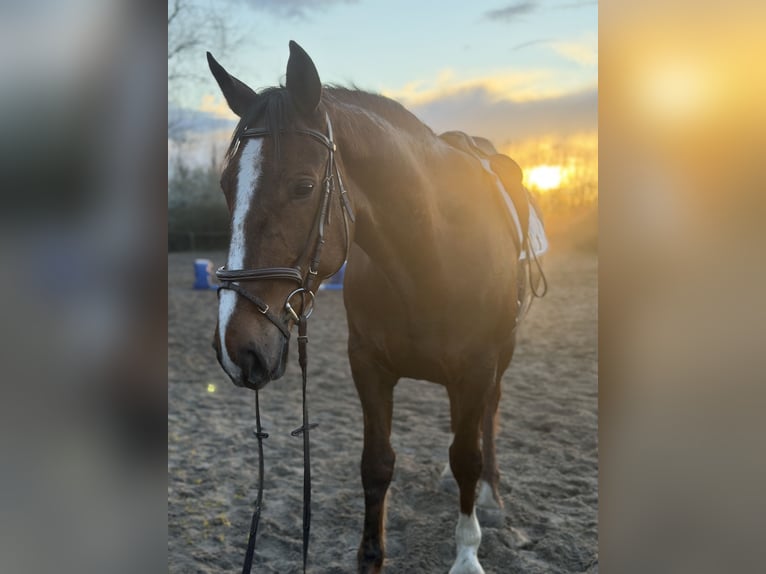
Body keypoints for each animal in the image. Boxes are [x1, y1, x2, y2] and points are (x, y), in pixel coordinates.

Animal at [209, 41, 546, 574]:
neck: (430, 258)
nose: (235, 346)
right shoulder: (368, 366)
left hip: (502, 353)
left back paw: (490, 497)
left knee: (488, 417)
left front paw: (467, 553)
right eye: (225, 185)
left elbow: (467, 457)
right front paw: (370, 557)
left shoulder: (476, 368)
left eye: (304, 186)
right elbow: (377, 463)